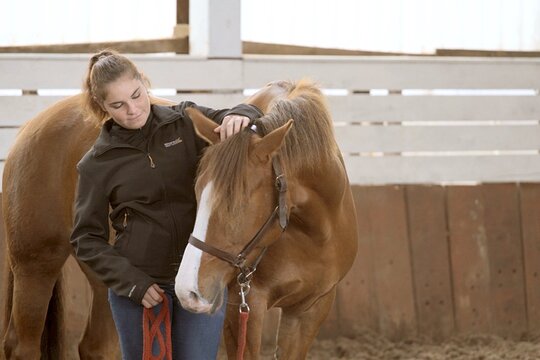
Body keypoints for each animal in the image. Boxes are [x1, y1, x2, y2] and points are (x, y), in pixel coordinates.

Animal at [175, 80, 358, 358]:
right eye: (197, 191)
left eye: (239, 201)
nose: (188, 290)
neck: (313, 233)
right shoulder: (244, 303)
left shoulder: (312, 308)